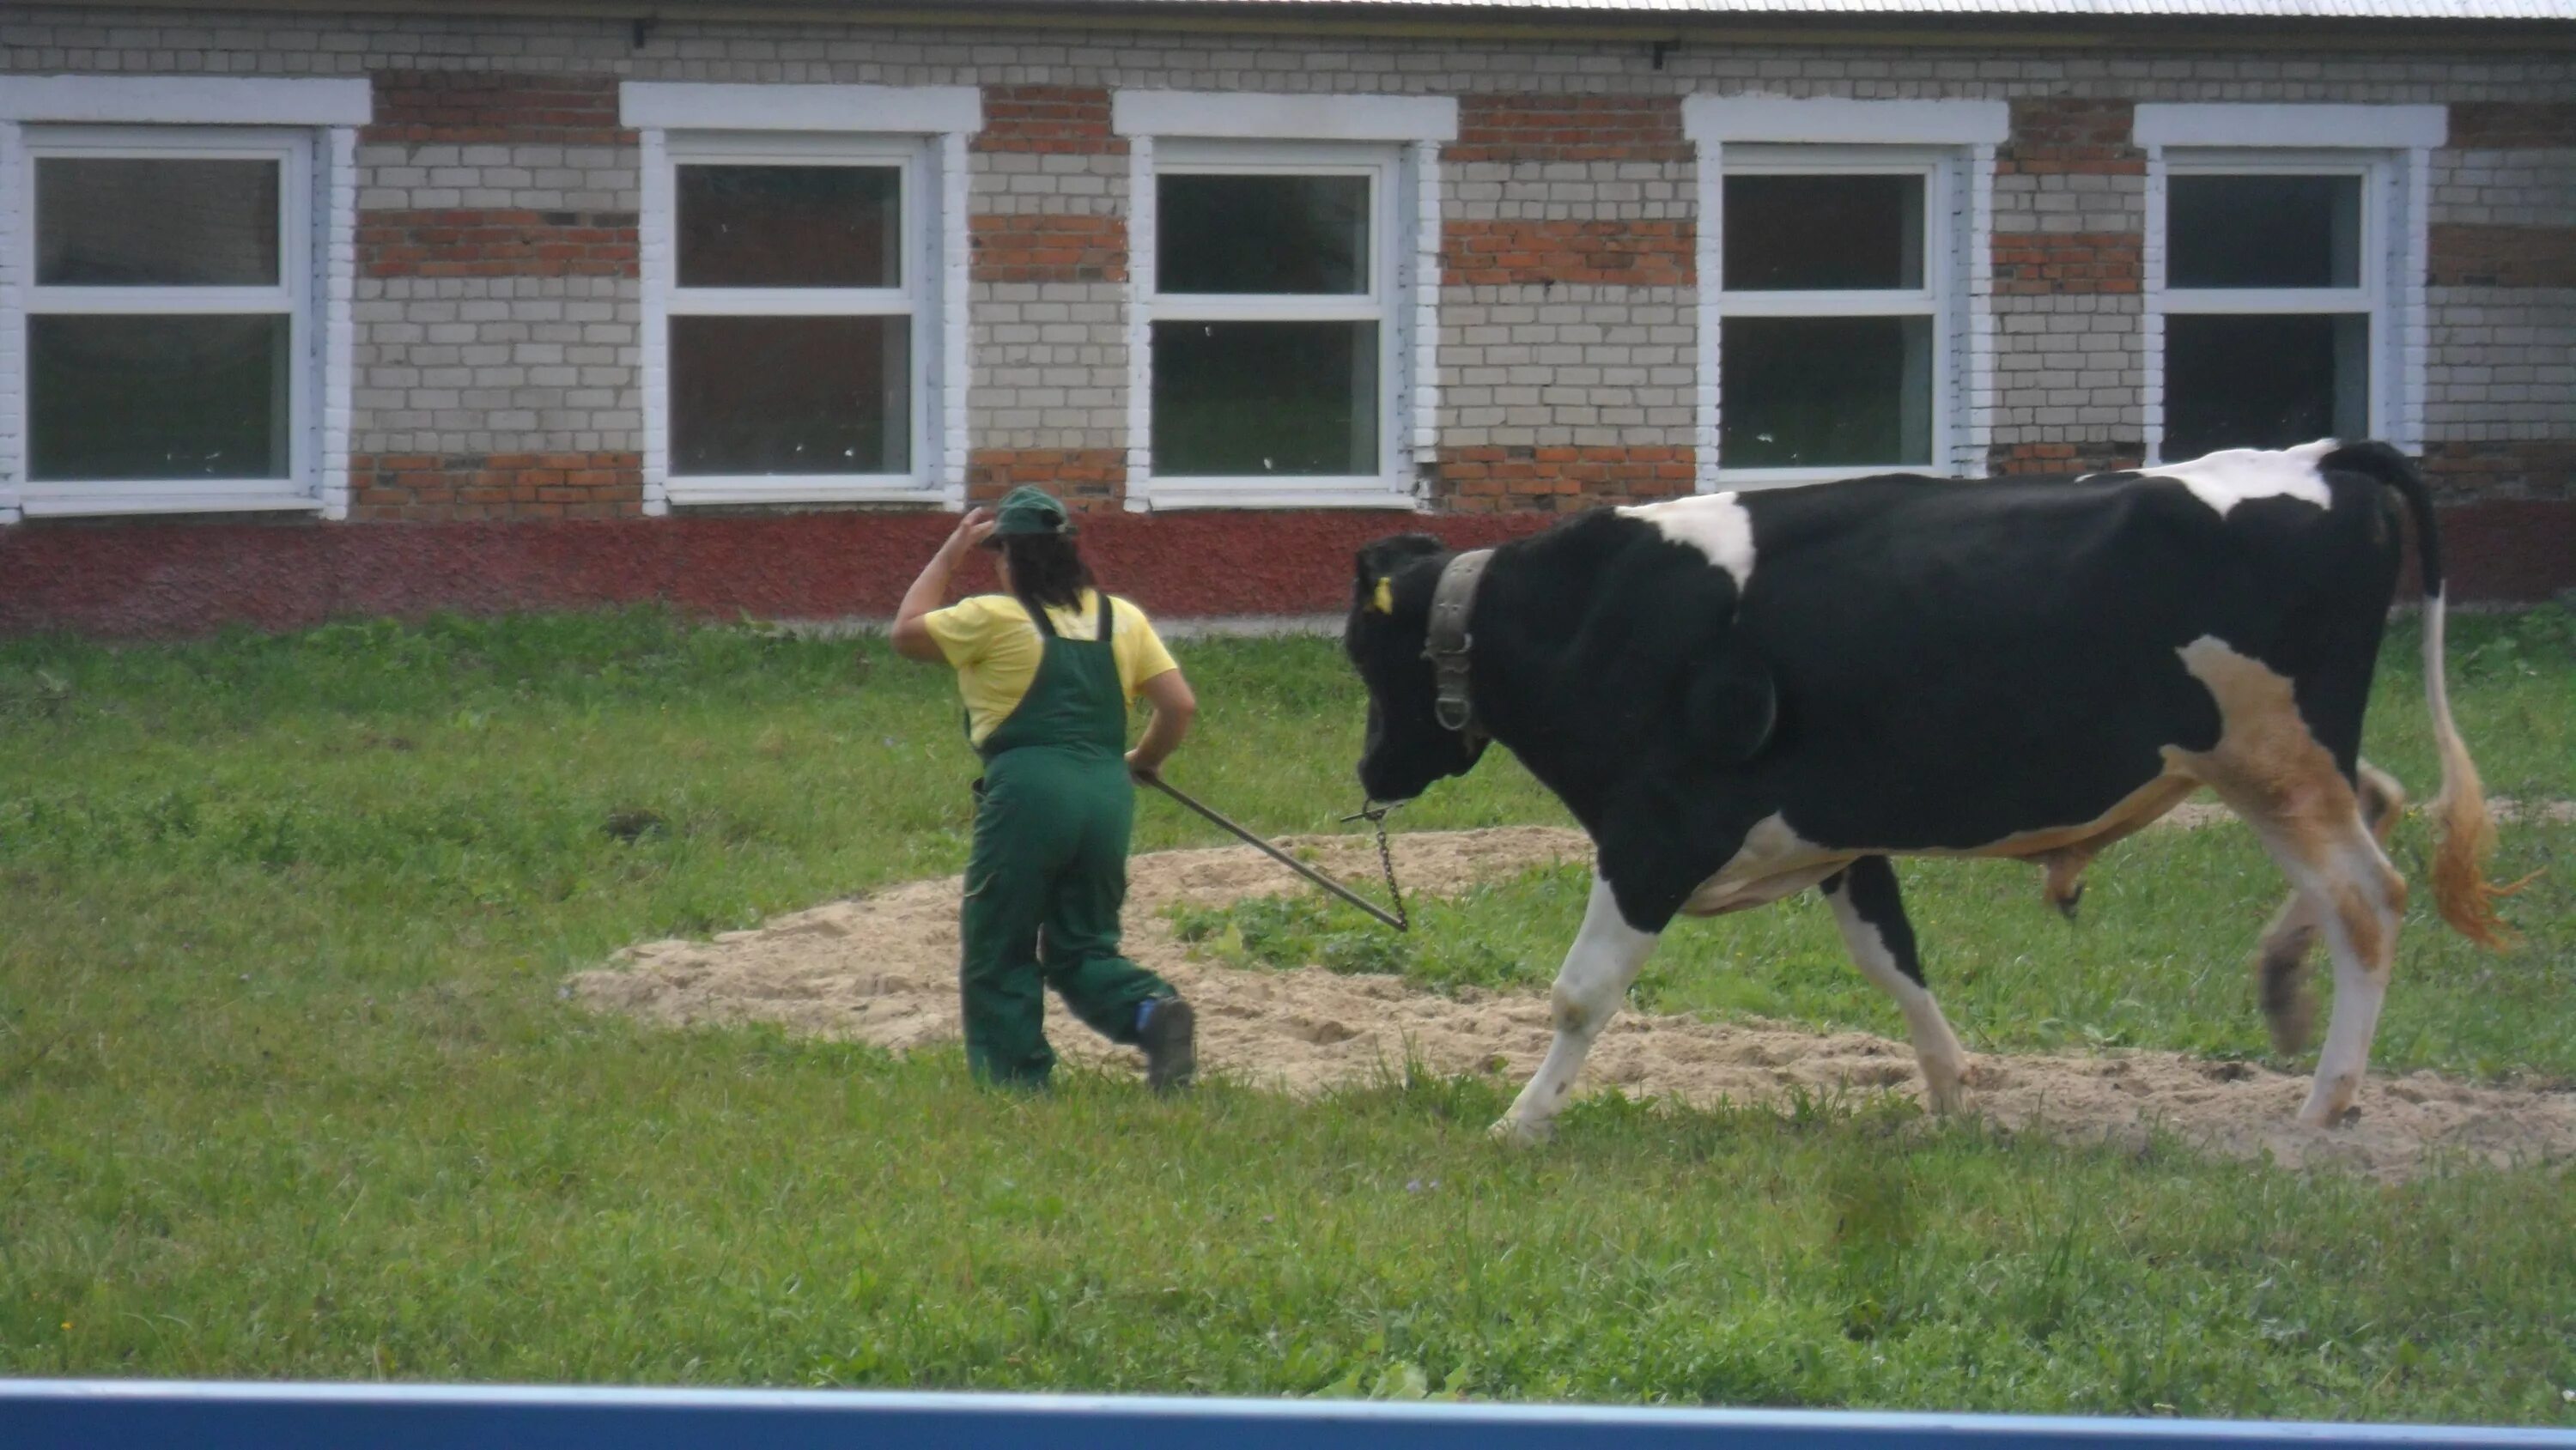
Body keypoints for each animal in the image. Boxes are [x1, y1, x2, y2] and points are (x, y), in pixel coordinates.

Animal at [1350, 438, 2514, 1138]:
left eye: (1363, 653)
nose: (1369, 769)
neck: (1592, 612)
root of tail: (2316, 458)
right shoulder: (1835, 834)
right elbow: (1892, 960)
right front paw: (1952, 1092)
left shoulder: (1655, 835)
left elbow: (1580, 992)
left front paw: (1520, 1122)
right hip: (2260, 763)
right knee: (2380, 804)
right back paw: (2282, 984)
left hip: (2271, 759)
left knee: (2369, 899)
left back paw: (2325, 1103)